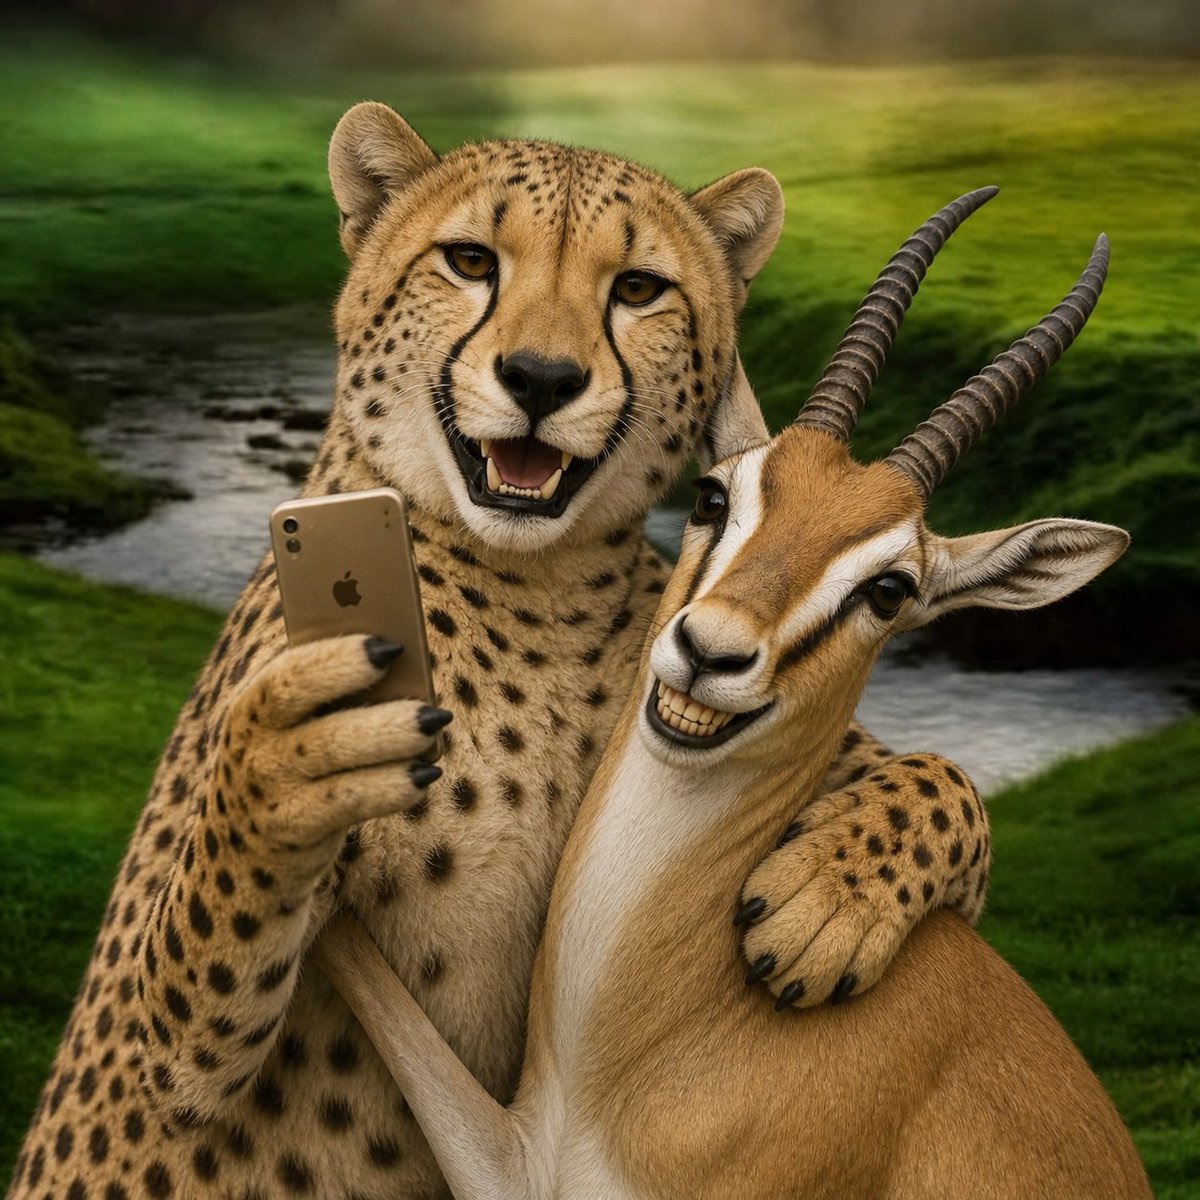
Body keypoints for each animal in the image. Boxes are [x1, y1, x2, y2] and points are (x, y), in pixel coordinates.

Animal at [8, 103, 990, 1199]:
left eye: (636, 288)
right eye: (471, 261)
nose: (541, 378)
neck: (539, 588)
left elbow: (946, 779)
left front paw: (832, 900)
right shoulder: (154, 1056)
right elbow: (188, 997)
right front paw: (288, 765)